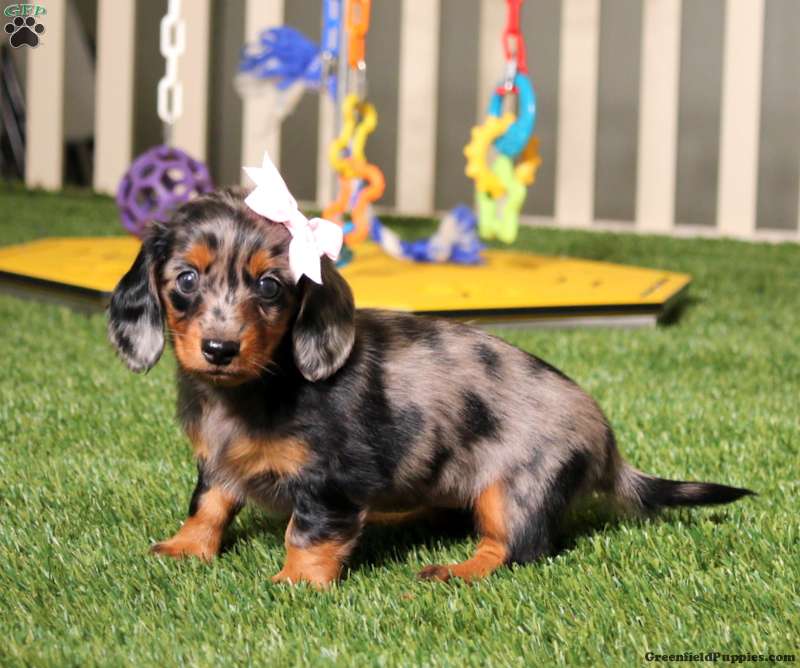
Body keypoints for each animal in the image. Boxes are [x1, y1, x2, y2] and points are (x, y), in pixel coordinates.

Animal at [108, 187, 753, 587]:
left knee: (515, 549)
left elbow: (307, 532)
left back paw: (457, 572)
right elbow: (209, 502)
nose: (219, 350)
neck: (262, 383)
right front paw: (186, 547)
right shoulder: (217, 461)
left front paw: (296, 582)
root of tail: (607, 439)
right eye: (185, 279)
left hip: (513, 491)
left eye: (269, 286)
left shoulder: (329, 480)